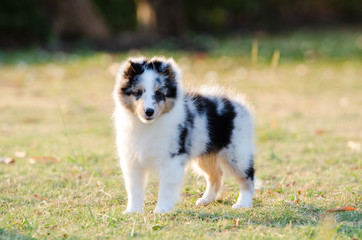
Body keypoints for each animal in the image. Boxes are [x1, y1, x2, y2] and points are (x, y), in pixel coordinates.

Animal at [113, 56, 255, 214]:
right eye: (138, 92)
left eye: (159, 93)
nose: (149, 111)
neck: (147, 126)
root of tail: (237, 104)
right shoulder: (132, 161)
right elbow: (134, 189)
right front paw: (132, 211)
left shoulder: (171, 159)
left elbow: (165, 189)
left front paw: (161, 210)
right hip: (206, 154)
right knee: (216, 174)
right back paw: (205, 200)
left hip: (236, 153)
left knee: (247, 176)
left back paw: (243, 203)